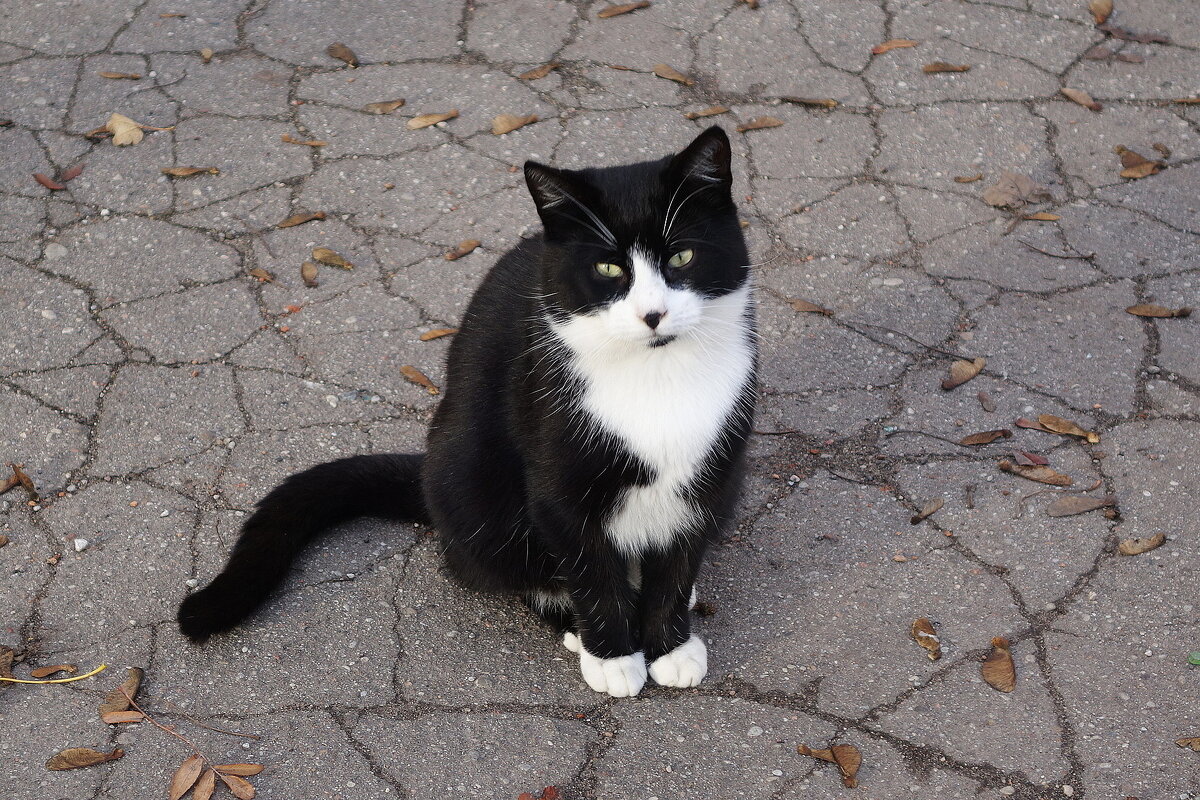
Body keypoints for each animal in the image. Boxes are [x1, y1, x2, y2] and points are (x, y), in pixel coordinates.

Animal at [175, 125, 758, 695]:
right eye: (609, 267)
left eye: (681, 257)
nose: (653, 314)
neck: (656, 375)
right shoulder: (557, 483)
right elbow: (590, 569)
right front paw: (613, 655)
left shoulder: (709, 479)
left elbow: (677, 563)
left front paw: (671, 645)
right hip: (469, 476)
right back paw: (572, 623)